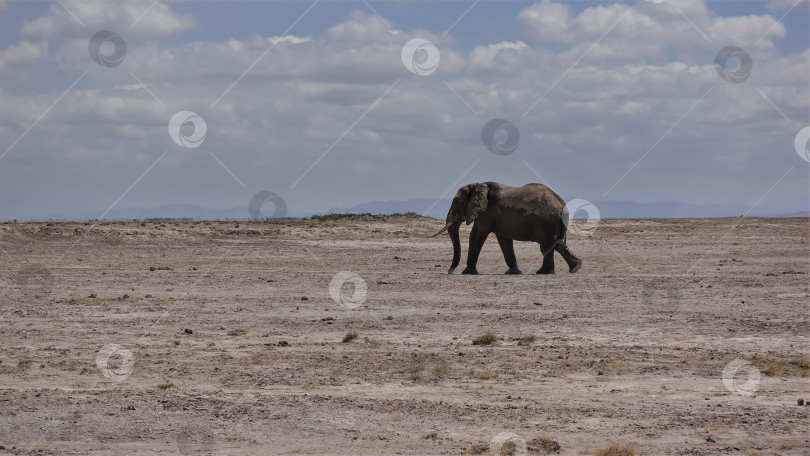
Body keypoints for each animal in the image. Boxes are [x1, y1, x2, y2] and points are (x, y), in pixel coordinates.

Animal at [430, 182, 580, 274]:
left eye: (456, 202)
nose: (449, 272)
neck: (477, 185)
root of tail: (562, 204)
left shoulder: (487, 214)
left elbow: (477, 236)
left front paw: (467, 273)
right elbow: (504, 240)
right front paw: (513, 273)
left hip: (546, 223)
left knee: (548, 245)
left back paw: (545, 272)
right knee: (555, 244)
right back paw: (573, 268)